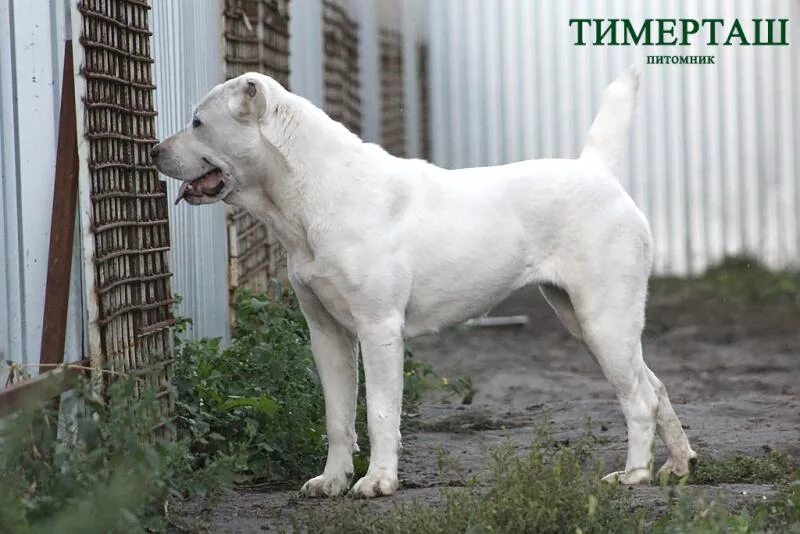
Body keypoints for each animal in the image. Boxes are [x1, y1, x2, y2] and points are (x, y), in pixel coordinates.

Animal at [152, 69, 692, 500]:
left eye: (198, 123)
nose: (154, 150)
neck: (310, 196)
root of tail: (597, 171)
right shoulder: (327, 335)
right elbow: (337, 418)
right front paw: (332, 481)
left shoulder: (378, 329)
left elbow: (380, 414)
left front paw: (377, 482)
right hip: (586, 320)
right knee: (655, 385)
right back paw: (677, 465)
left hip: (603, 318)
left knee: (639, 397)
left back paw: (635, 475)